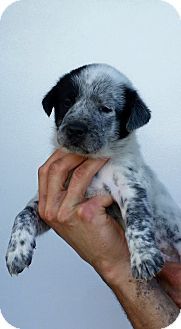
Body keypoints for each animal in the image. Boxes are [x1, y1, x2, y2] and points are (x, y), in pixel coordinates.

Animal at [5, 62, 181, 278]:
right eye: (67, 102)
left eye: (105, 108)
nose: (75, 129)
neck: (89, 160)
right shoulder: (47, 200)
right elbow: (22, 214)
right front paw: (16, 253)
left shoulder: (130, 187)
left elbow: (137, 220)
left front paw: (144, 257)